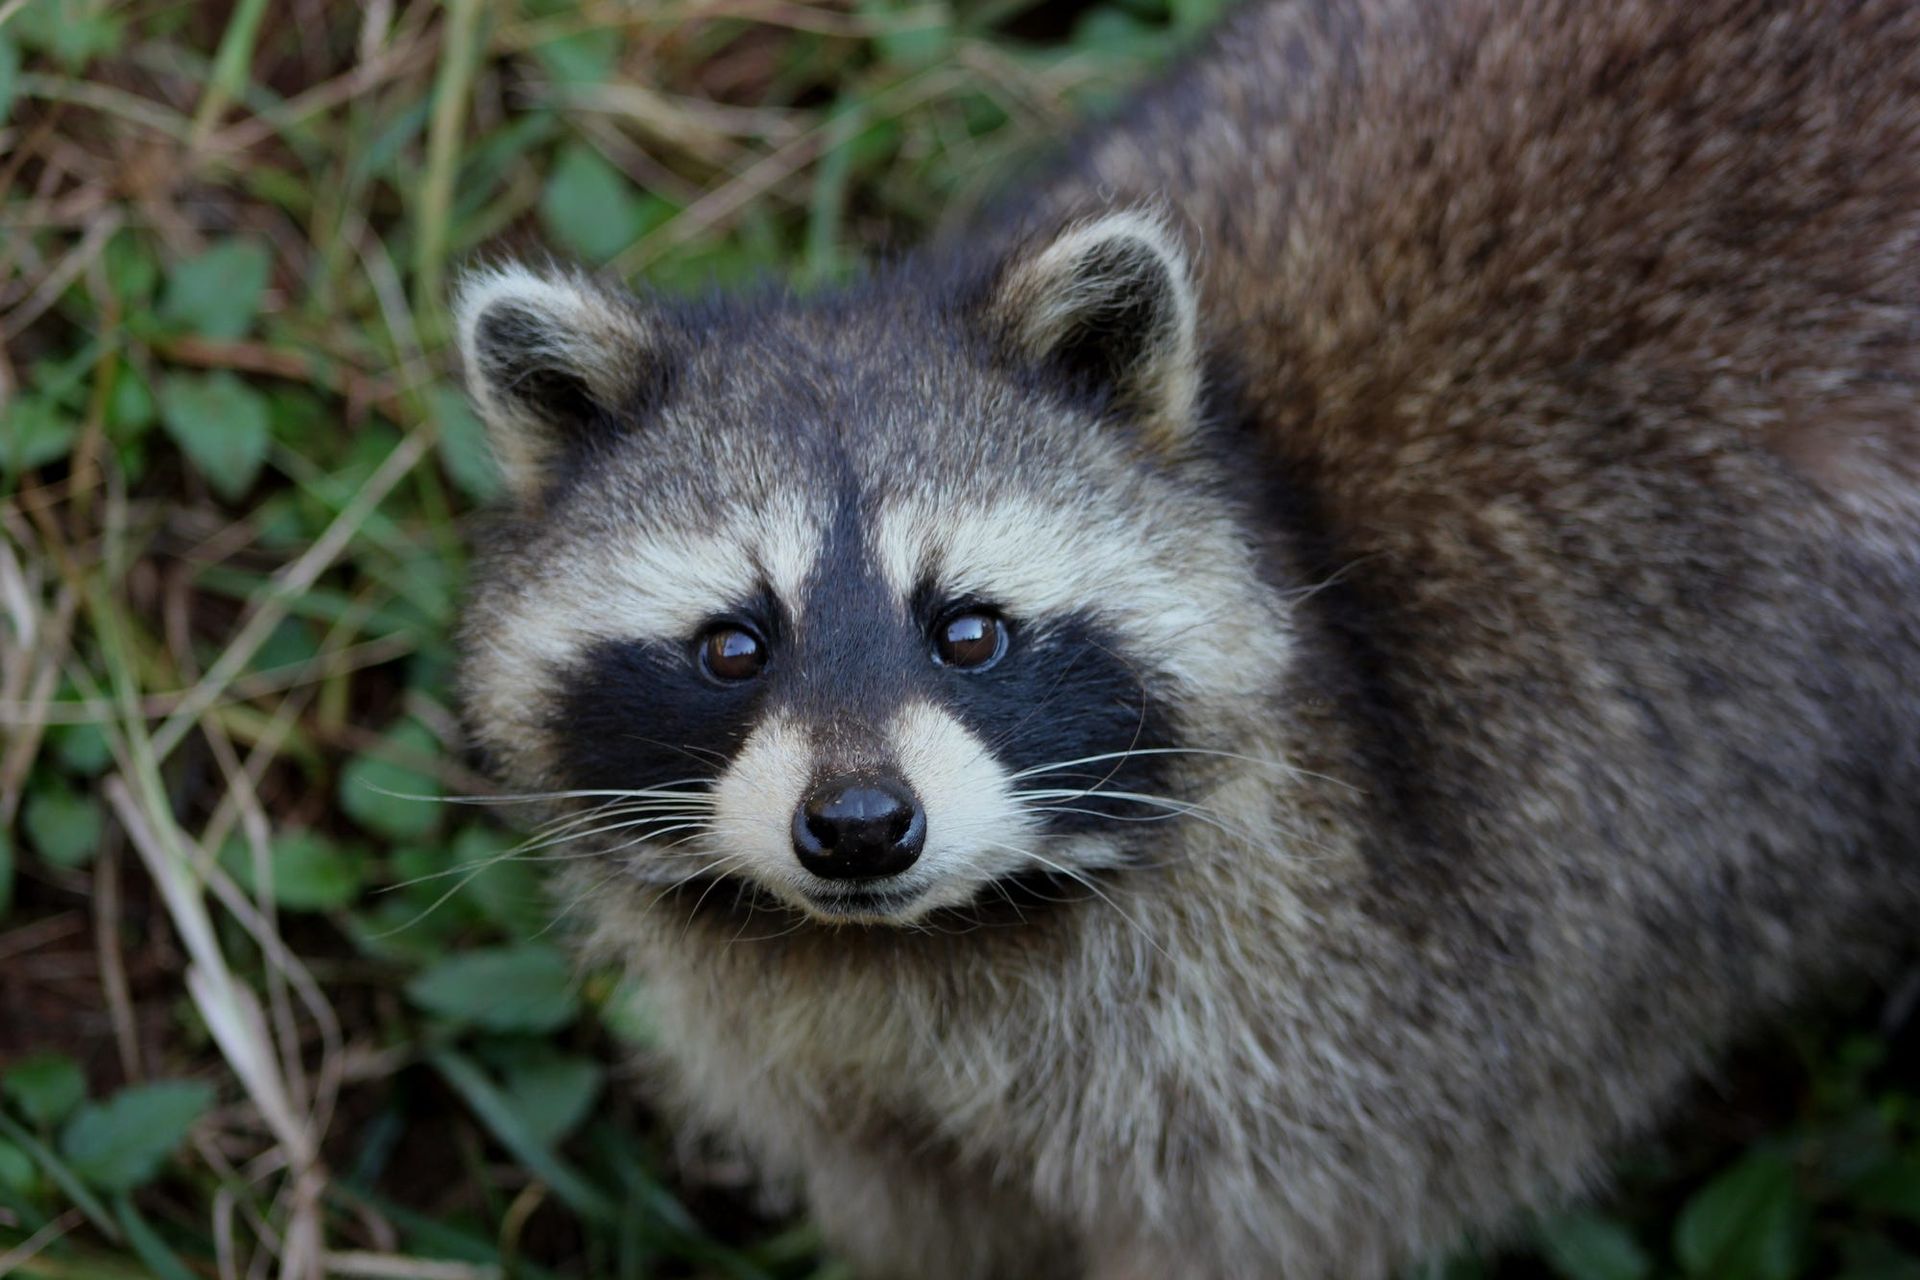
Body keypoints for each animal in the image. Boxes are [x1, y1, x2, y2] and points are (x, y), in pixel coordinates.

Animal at [451, 1, 1920, 1276]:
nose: (861, 826)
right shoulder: (850, 1094)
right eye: (734, 647)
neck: (923, 944)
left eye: (968, 631)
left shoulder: (1348, 1041)